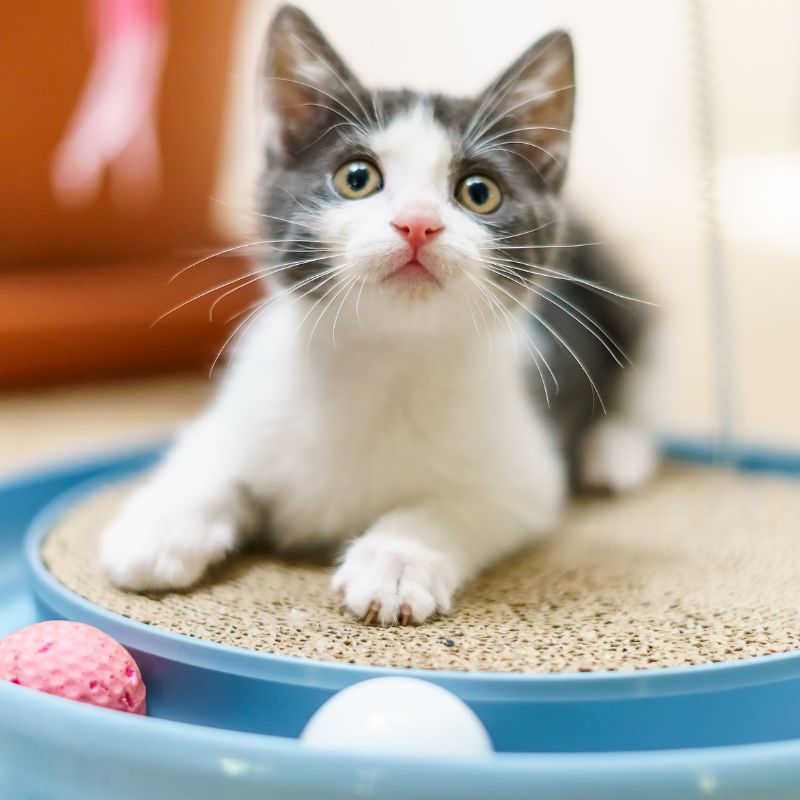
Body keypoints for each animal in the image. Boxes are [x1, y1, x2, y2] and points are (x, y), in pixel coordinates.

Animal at [98, 6, 656, 628]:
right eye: (356, 178)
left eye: (479, 192)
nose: (417, 223)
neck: (385, 358)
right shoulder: (243, 411)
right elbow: (207, 459)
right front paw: (157, 529)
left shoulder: (526, 473)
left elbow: (457, 505)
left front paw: (397, 563)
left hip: (617, 290)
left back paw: (614, 453)